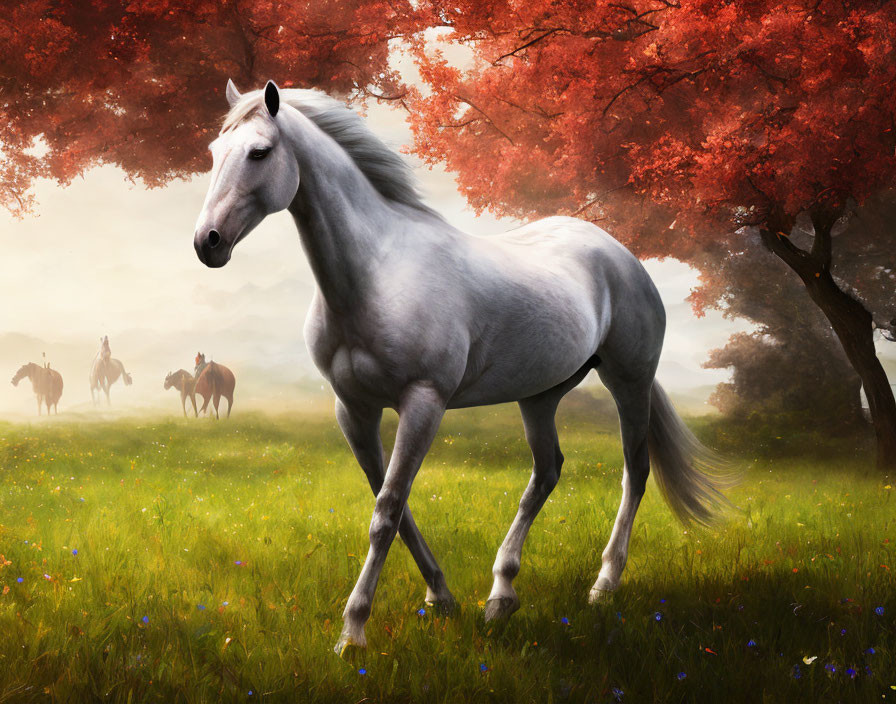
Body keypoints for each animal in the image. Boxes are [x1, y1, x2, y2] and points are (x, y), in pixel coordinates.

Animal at [192, 81, 732, 656]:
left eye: (259, 153)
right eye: (213, 153)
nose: (208, 242)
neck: (379, 274)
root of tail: (619, 253)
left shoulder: (423, 403)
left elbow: (386, 512)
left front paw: (353, 633)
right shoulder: (353, 409)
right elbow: (394, 505)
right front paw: (442, 598)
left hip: (628, 380)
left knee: (635, 470)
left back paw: (603, 585)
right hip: (539, 395)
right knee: (547, 472)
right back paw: (501, 595)